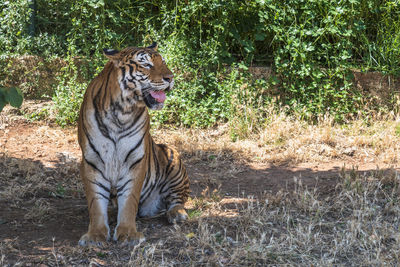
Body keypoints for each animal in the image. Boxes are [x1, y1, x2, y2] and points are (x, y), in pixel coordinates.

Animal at [79, 42, 191, 247]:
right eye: (146, 65)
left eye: (163, 61)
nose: (170, 78)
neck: (122, 111)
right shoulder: (91, 161)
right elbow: (95, 202)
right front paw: (95, 236)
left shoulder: (135, 161)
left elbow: (129, 200)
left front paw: (128, 234)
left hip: (172, 157)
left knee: (177, 199)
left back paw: (177, 214)